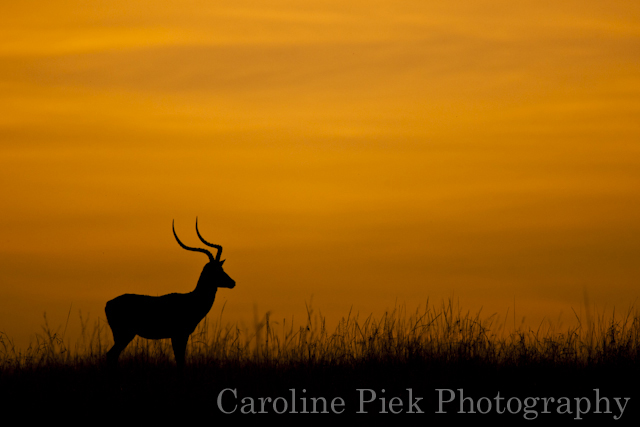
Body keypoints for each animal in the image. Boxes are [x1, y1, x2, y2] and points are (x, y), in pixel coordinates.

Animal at [105, 219, 235, 370]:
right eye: (217, 270)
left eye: (222, 268)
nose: (232, 282)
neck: (192, 300)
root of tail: (108, 304)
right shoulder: (179, 334)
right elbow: (180, 360)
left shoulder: (179, 335)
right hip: (125, 334)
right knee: (111, 354)